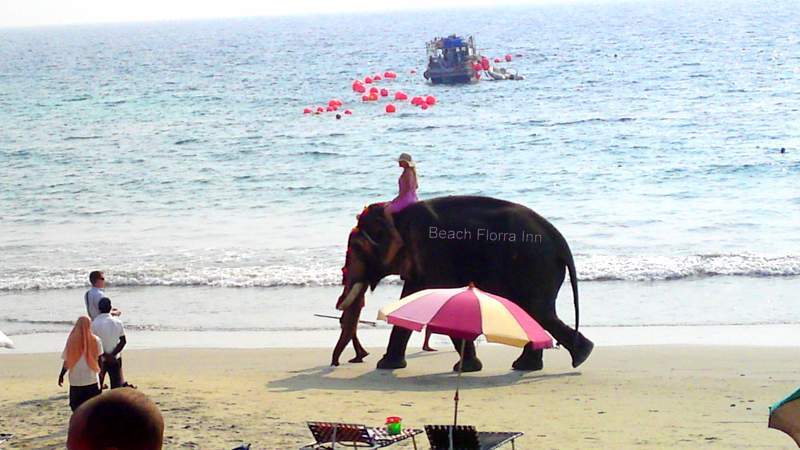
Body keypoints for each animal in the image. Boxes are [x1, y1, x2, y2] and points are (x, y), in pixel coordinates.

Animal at [338, 195, 592, 370]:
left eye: (356, 249)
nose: (351, 361)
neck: (397, 217)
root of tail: (561, 242)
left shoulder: (433, 255)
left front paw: (386, 365)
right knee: (537, 314)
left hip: (536, 265)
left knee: (537, 312)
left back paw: (575, 357)